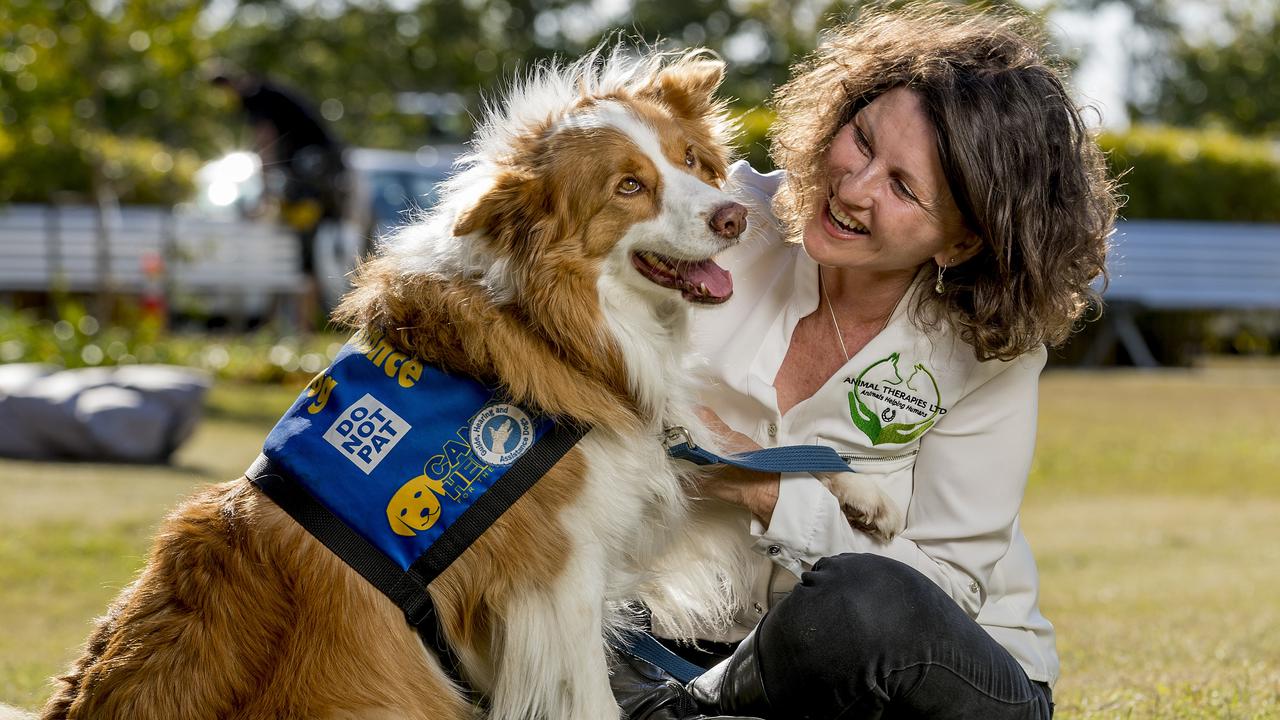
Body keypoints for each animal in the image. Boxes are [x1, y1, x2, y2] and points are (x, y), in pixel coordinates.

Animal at [37, 49, 901, 717]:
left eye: (693, 162)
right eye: (628, 187)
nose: (733, 217)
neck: (551, 326)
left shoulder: (626, 485)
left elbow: (733, 455)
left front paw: (866, 494)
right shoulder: (552, 580)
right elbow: (589, 691)